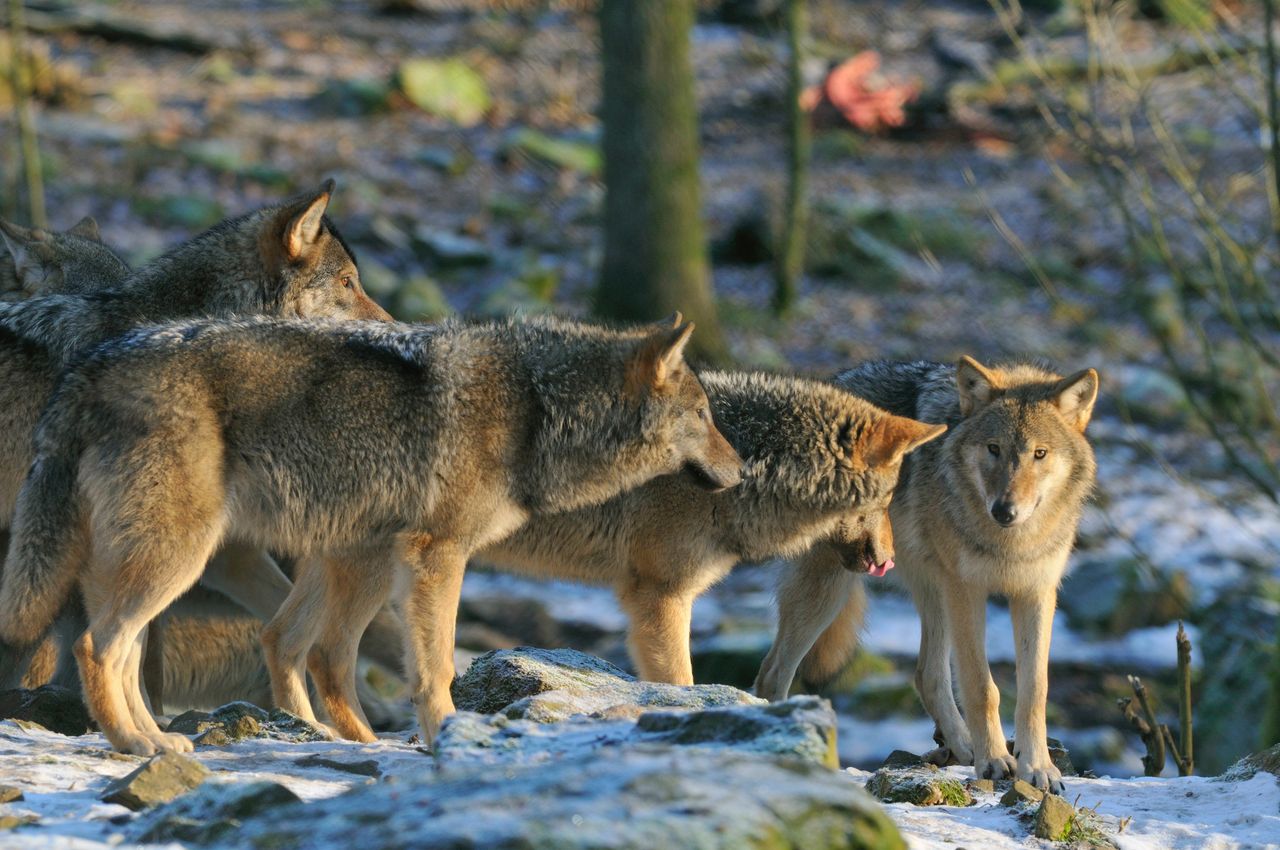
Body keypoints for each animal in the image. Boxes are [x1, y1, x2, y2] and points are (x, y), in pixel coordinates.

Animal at [0, 314, 742, 752]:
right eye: (705, 415)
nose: (741, 470)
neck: (535, 405)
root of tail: (87, 366)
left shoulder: (373, 549)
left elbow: (332, 654)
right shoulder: (437, 553)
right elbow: (436, 664)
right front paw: (444, 735)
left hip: (188, 561)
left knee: (143, 649)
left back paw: (161, 738)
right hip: (180, 559)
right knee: (98, 647)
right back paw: (135, 745)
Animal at [285, 373, 947, 742]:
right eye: (887, 497)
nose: (891, 562)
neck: (746, 467)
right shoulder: (659, 596)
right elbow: (681, 685)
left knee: (283, 638)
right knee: (321, 653)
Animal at [752, 355, 1095, 793]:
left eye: (1040, 453)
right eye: (994, 449)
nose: (1004, 510)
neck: (1010, 541)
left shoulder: (1036, 591)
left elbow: (1034, 689)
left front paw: (1038, 768)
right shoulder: (968, 589)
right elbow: (982, 686)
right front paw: (994, 761)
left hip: (932, 590)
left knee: (926, 674)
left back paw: (962, 746)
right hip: (831, 591)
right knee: (772, 673)